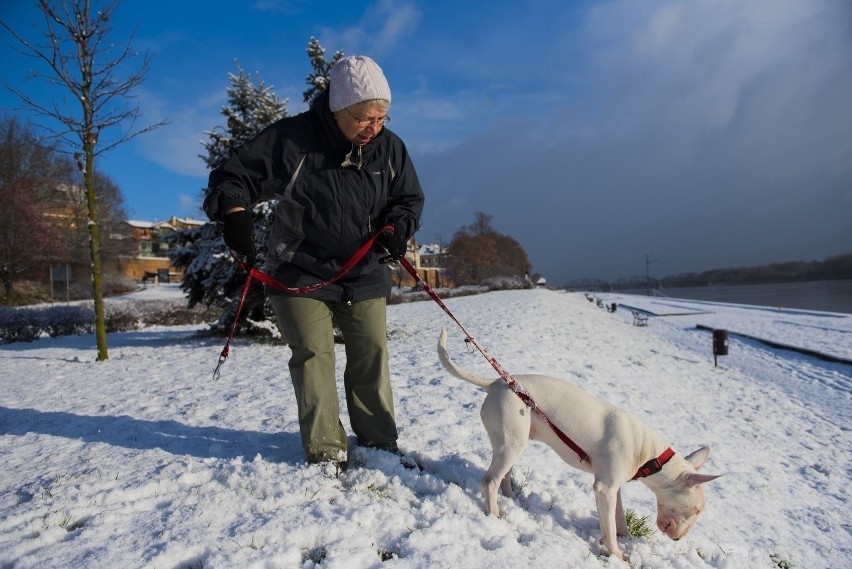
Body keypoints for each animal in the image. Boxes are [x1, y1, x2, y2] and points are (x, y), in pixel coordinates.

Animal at [436, 328, 724, 560]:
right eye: (698, 510)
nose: (679, 538)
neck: (649, 456)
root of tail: (495, 383)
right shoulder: (604, 488)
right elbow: (608, 525)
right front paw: (617, 555)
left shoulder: (613, 486)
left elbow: (618, 517)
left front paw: (626, 538)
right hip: (511, 441)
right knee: (489, 481)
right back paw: (495, 514)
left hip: (514, 441)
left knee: (503, 475)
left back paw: (512, 499)